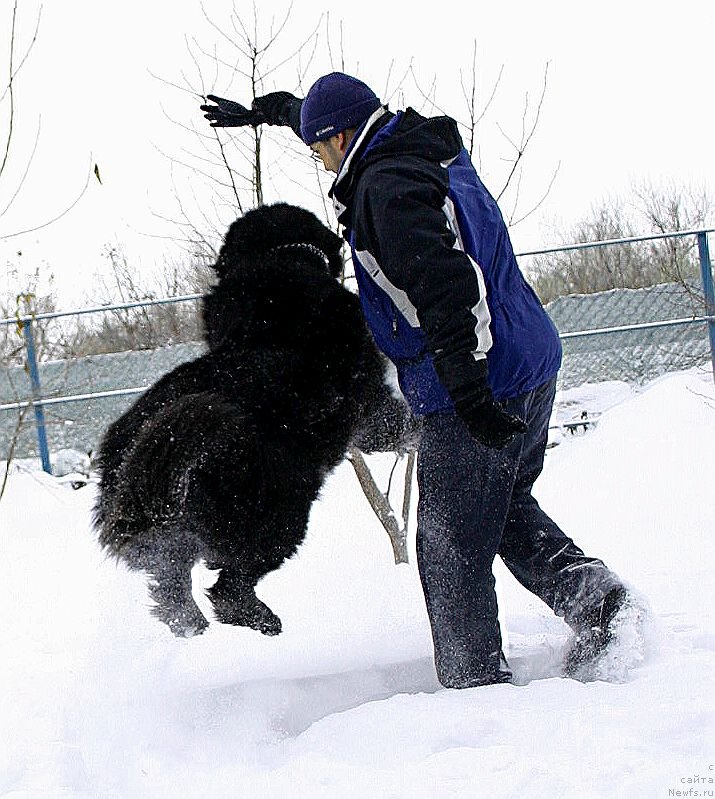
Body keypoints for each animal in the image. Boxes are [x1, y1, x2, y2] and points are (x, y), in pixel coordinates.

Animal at [93, 205, 414, 636]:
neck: (277, 261)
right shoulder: (367, 408)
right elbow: (394, 422)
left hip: (173, 533)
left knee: (173, 583)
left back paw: (192, 626)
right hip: (281, 515)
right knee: (229, 589)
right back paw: (261, 620)